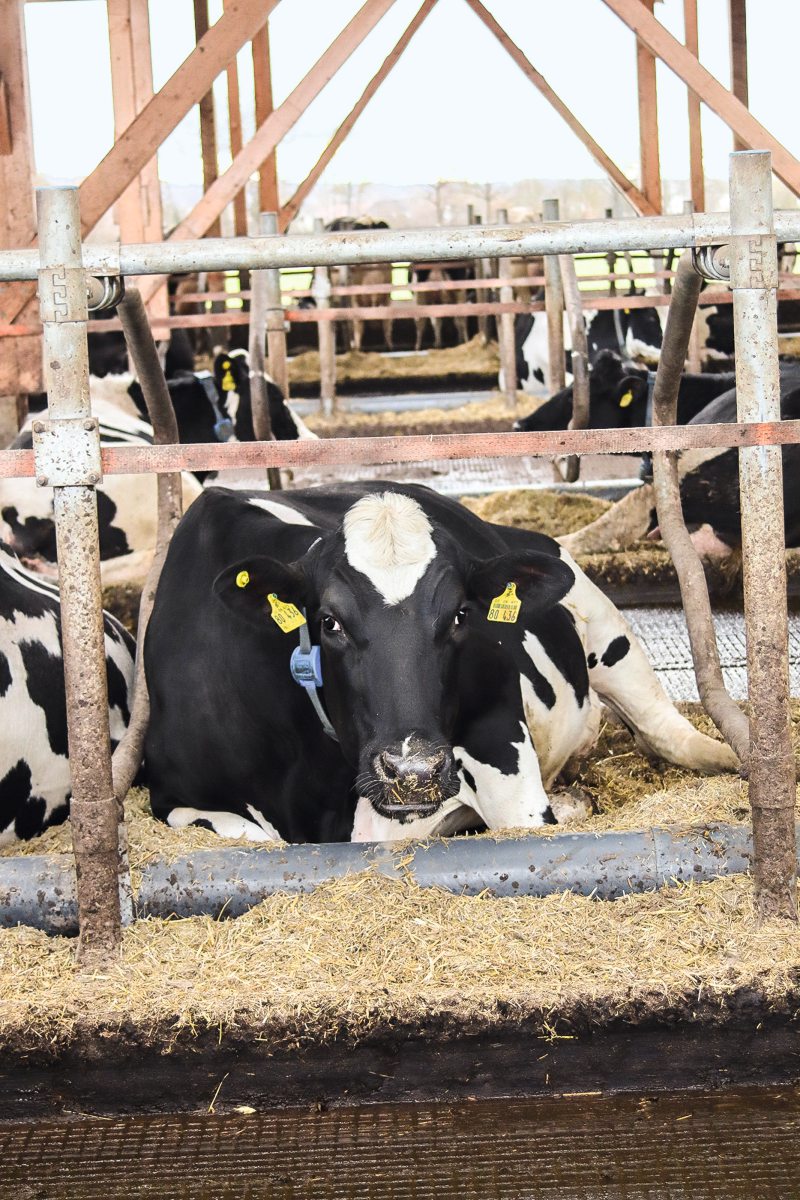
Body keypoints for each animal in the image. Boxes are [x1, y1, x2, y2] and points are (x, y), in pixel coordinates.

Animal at [143, 482, 737, 845]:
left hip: (606, 625)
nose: (414, 772)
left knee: (664, 731)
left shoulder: (499, 738)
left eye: (459, 615)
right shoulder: (170, 795)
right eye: (329, 621)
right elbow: (245, 833)